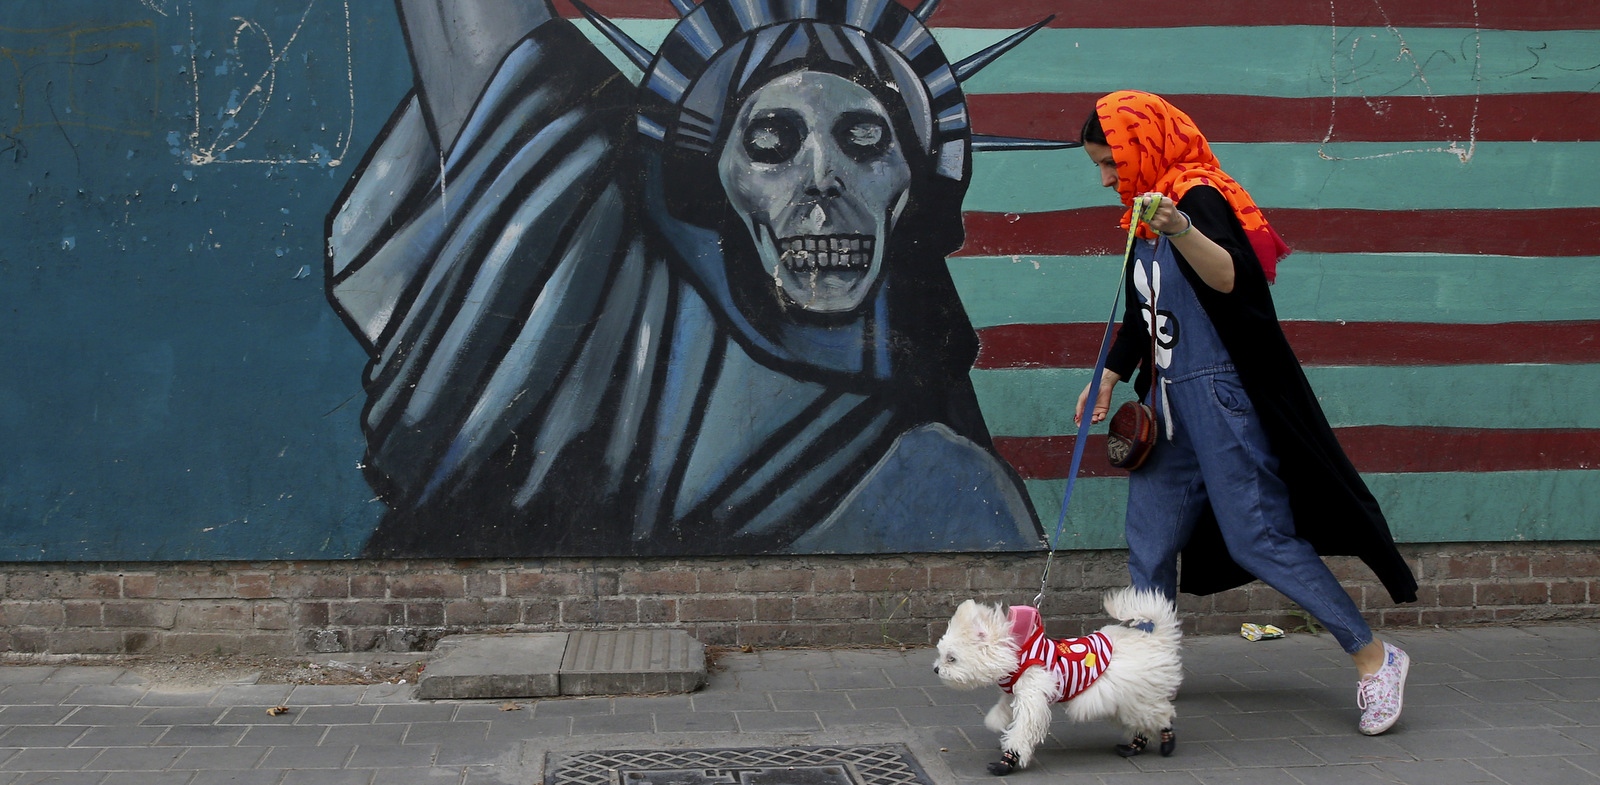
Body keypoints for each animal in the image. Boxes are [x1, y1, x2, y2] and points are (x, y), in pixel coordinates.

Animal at [934, 588, 1184, 777]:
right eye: (942, 654)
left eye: (951, 658)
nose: (936, 669)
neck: (1019, 652)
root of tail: (1157, 639)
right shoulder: (1018, 691)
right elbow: (1004, 707)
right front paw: (997, 723)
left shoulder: (1033, 698)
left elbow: (1023, 730)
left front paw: (1008, 760)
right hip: (1127, 702)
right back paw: (1134, 746)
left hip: (1139, 697)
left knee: (1161, 715)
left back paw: (1166, 742)